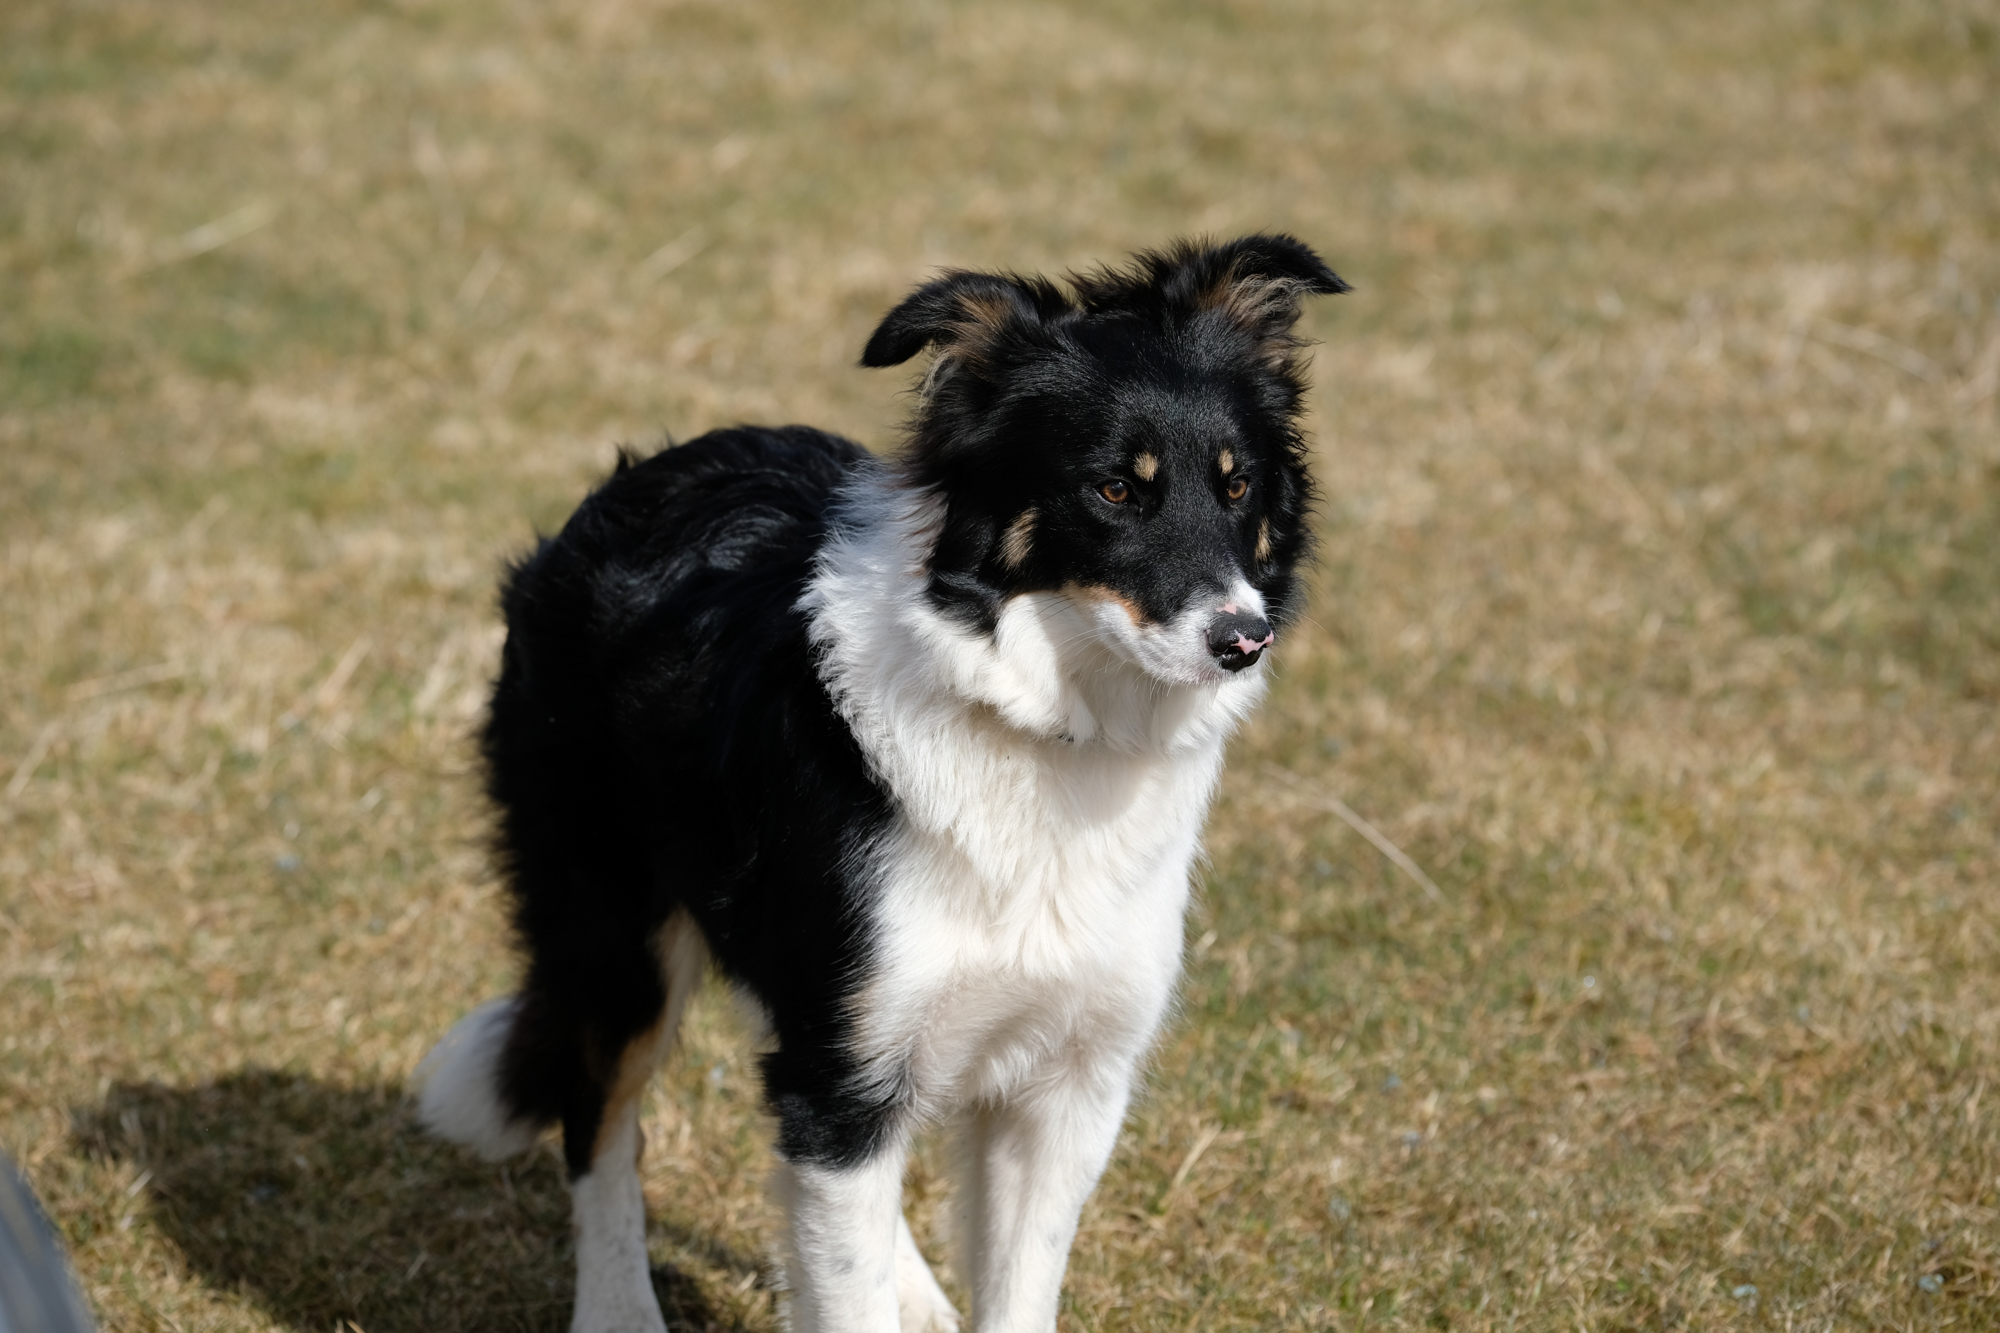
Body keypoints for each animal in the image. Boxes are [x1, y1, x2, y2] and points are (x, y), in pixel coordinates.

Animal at [413, 234, 1347, 1333]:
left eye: (1237, 487)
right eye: (1115, 491)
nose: (1243, 640)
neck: (1047, 732)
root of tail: (635, 480)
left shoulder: (1061, 1080)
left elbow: (1011, 1286)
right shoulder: (847, 1069)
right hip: (615, 938)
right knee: (601, 1130)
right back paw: (619, 1310)